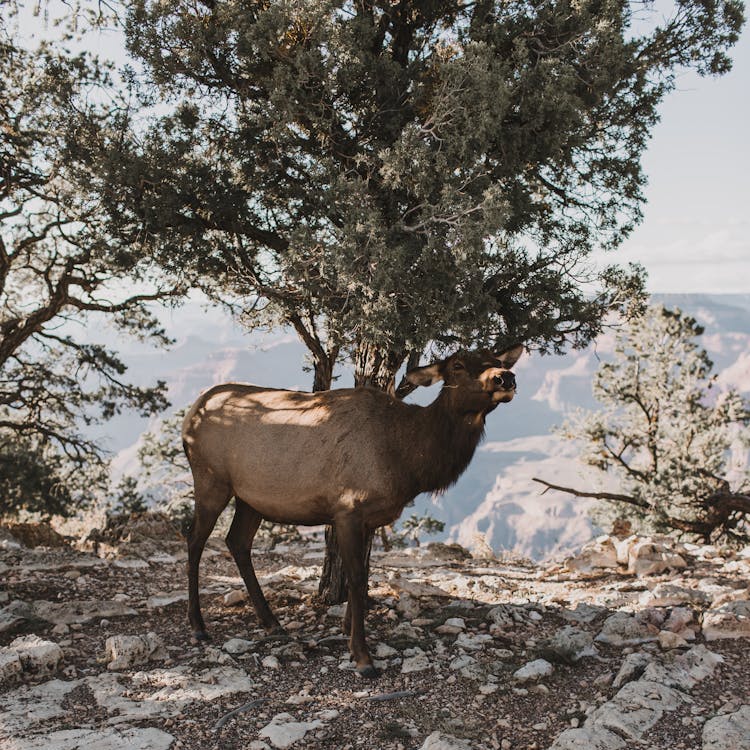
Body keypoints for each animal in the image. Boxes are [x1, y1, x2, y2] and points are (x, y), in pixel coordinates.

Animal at [182, 346, 524, 680]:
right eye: (457, 365)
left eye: (494, 357)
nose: (505, 377)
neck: (410, 462)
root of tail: (192, 413)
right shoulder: (347, 510)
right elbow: (357, 578)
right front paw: (362, 655)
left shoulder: (370, 518)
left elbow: (364, 574)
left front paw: (348, 629)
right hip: (211, 479)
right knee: (194, 539)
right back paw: (198, 626)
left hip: (251, 499)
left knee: (237, 541)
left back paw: (271, 622)